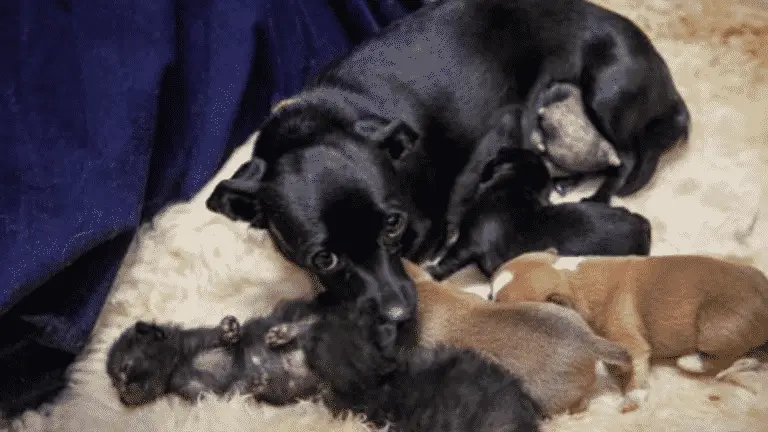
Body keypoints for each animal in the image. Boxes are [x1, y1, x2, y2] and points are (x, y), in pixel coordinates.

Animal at [202, 0, 684, 324]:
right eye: (322, 258)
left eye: (393, 224)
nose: (399, 313)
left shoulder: (426, 231)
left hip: (608, 93)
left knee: (628, 160)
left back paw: (600, 195)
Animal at [492, 250, 768, 412]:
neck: (574, 282)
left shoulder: (630, 342)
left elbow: (635, 367)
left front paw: (632, 397)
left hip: (716, 329)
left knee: (723, 359)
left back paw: (692, 361)